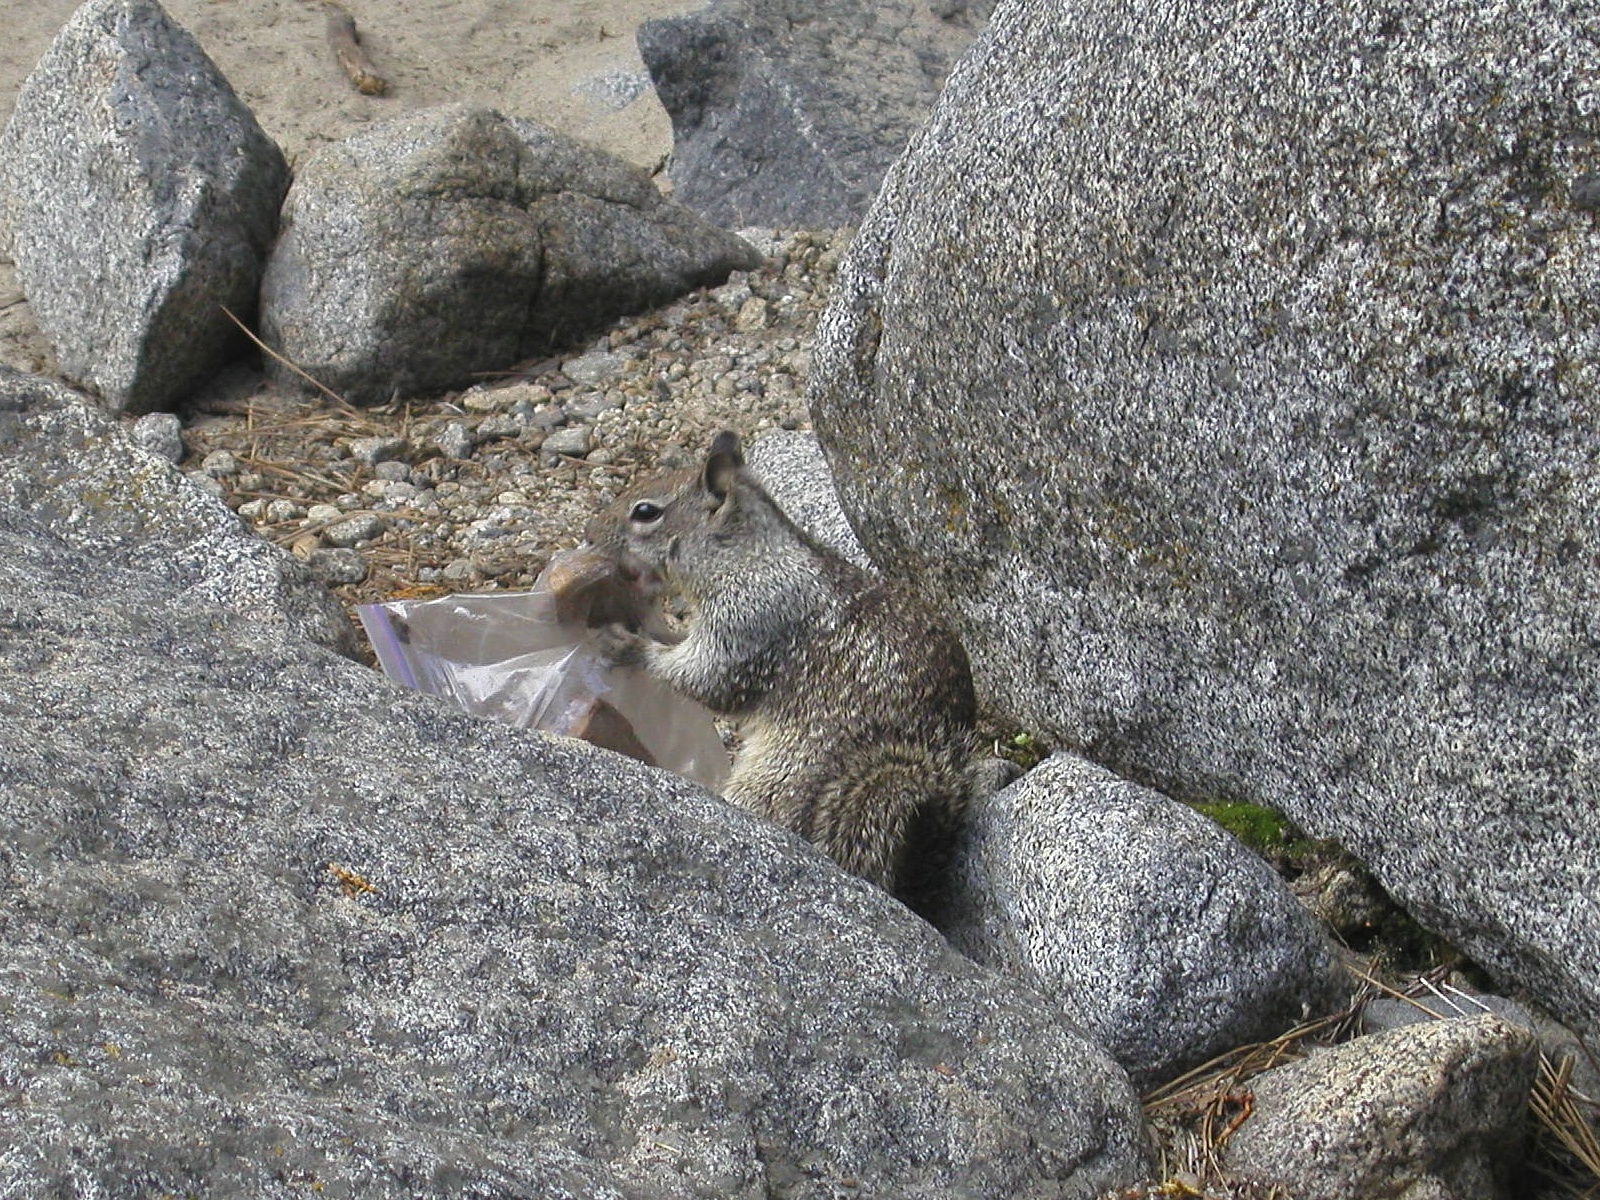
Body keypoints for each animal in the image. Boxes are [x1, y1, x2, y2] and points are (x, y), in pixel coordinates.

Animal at [583, 431, 978, 913]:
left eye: (645, 511)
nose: (588, 533)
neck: (745, 553)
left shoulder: (753, 618)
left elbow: (710, 678)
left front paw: (630, 644)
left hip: (779, 776)